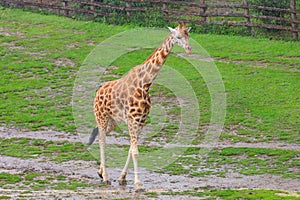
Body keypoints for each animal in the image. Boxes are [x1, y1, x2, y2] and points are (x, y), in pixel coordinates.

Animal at [89, 23, 192, 191]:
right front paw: (137, 184)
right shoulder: (133, 120)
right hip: (101, 116)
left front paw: (123, 178)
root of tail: (98, 92)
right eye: (178, 36)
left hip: (114, 120)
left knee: (100, 134)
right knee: (102, 139)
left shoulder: (141, 121)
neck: (144, 85)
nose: (189, 50)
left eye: (188, 35)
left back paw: (100, 172)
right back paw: (105, 177)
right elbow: (135, 151)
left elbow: (132, 149)